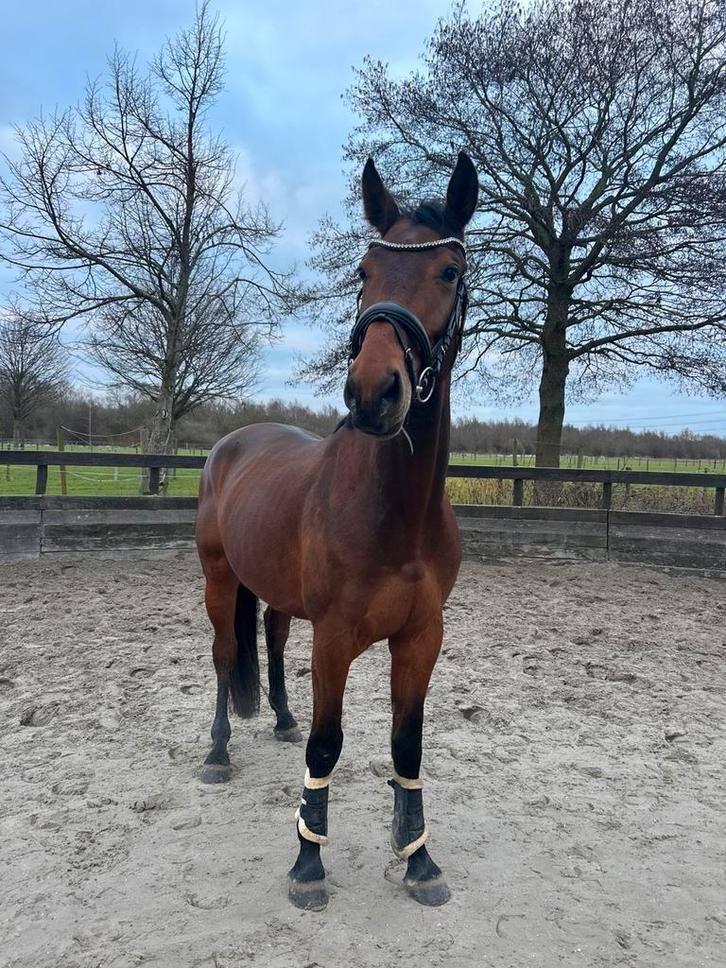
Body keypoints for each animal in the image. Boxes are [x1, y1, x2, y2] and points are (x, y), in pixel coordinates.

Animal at [195, 152, 479, 910]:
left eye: (450, 271)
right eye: (363, 270)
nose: (374, 391)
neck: (394, 514)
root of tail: (231, 445)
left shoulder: (421, 636)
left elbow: (407, 746)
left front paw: (419, 859)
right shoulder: (335, 637)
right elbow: (326, 745)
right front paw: (307, 863)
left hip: (276, 594)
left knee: (269, 636)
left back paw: (280, 718)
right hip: (217, 579)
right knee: (224, 655)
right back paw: (217, 753)